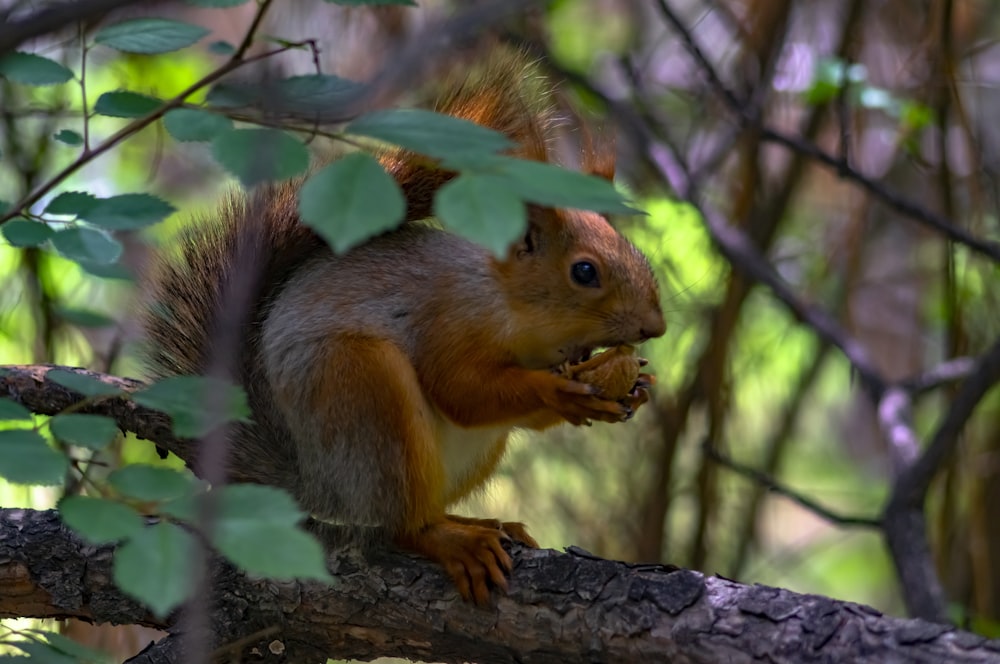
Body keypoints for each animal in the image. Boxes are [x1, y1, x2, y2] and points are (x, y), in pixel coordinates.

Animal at [145, 52, 664, 604]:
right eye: (584, 272)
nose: (655, 326)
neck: (513, 308)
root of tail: (312, 480)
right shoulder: (448, 319)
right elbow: (461, 390)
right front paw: (562, 393)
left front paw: (636, 386)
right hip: (366, 396)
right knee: (400, 526)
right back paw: (453, 540)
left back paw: (483, 522)